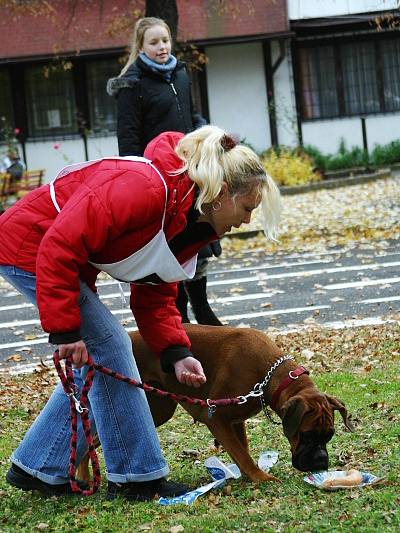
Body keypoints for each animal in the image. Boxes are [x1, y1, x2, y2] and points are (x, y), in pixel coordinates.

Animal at [77, 324, 354, 482]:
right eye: (306, 435)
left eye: (329, 436)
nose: (322, 462)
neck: (270, 375)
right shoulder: (217, 418)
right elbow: (241, 454)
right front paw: (260, 477)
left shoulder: (235, 421)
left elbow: (242, 449)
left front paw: (246, 475)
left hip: (158, 409)